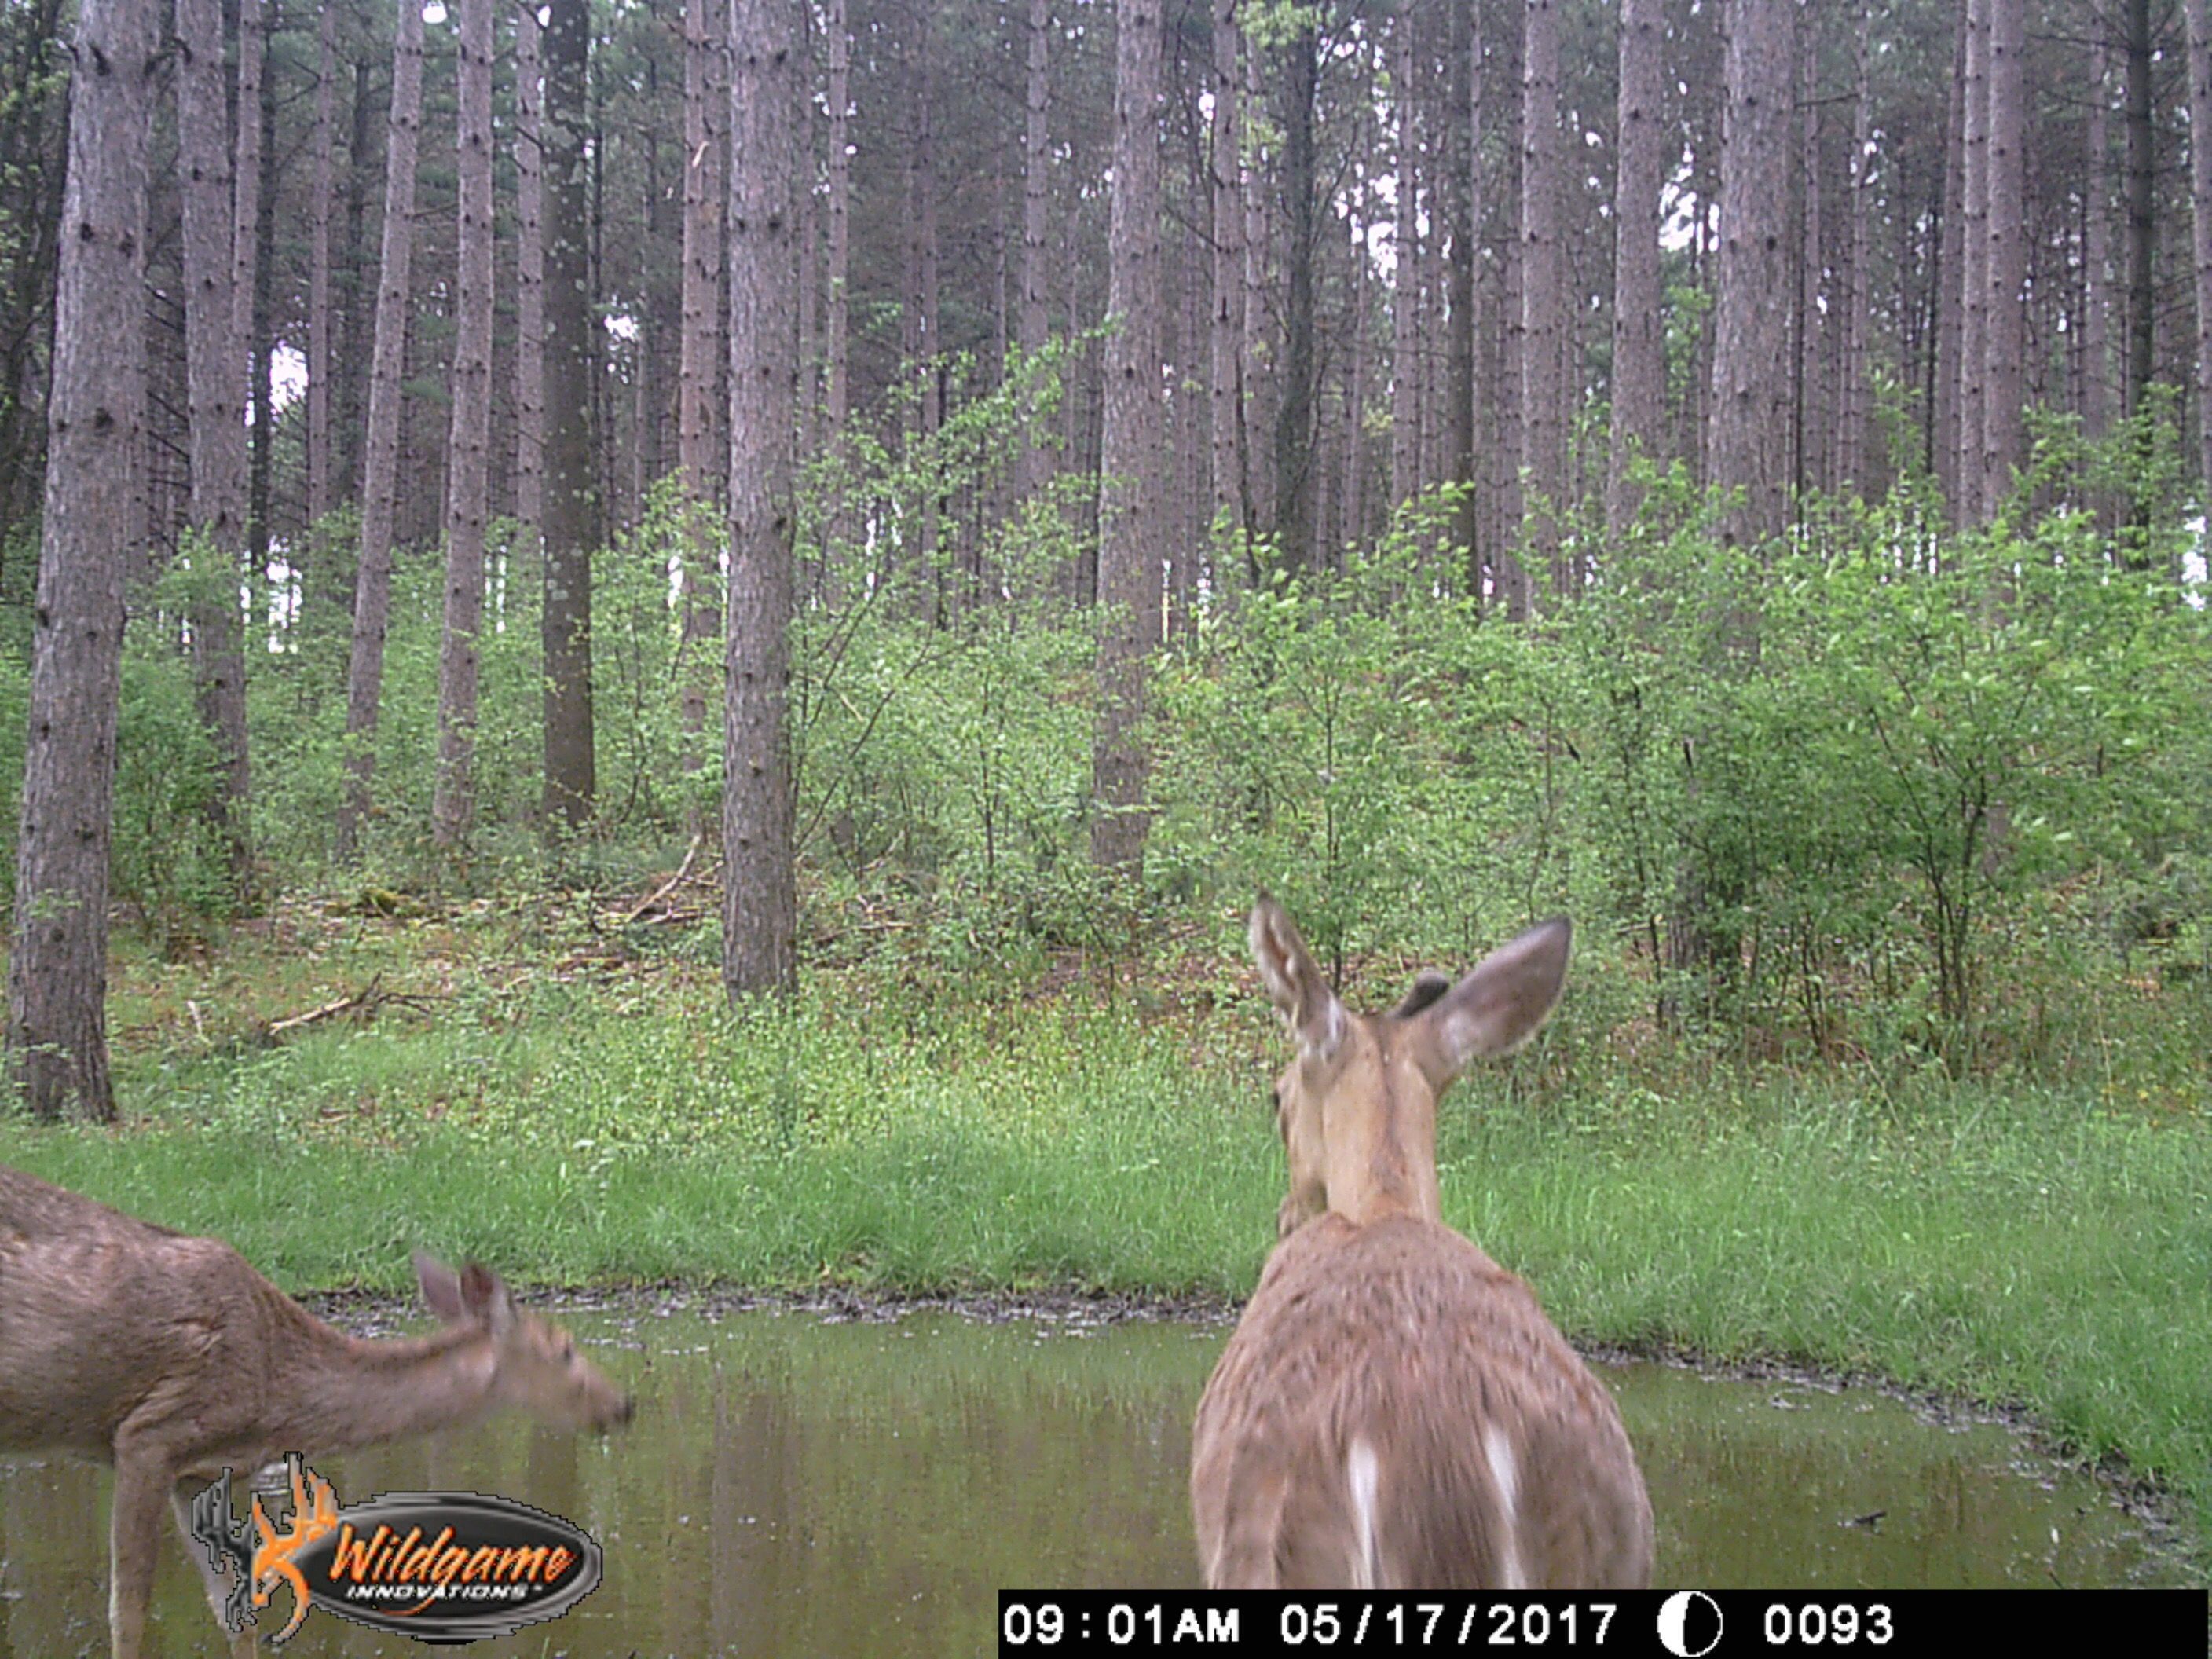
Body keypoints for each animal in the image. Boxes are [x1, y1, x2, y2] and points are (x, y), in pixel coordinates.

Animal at [0, 1163, 634, 1658]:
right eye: (565, 1349)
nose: (623, 1404)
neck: (275, 1395)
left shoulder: (195, 1469)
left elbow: (235, 1612)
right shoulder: (145, 1437)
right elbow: (128, 1612)